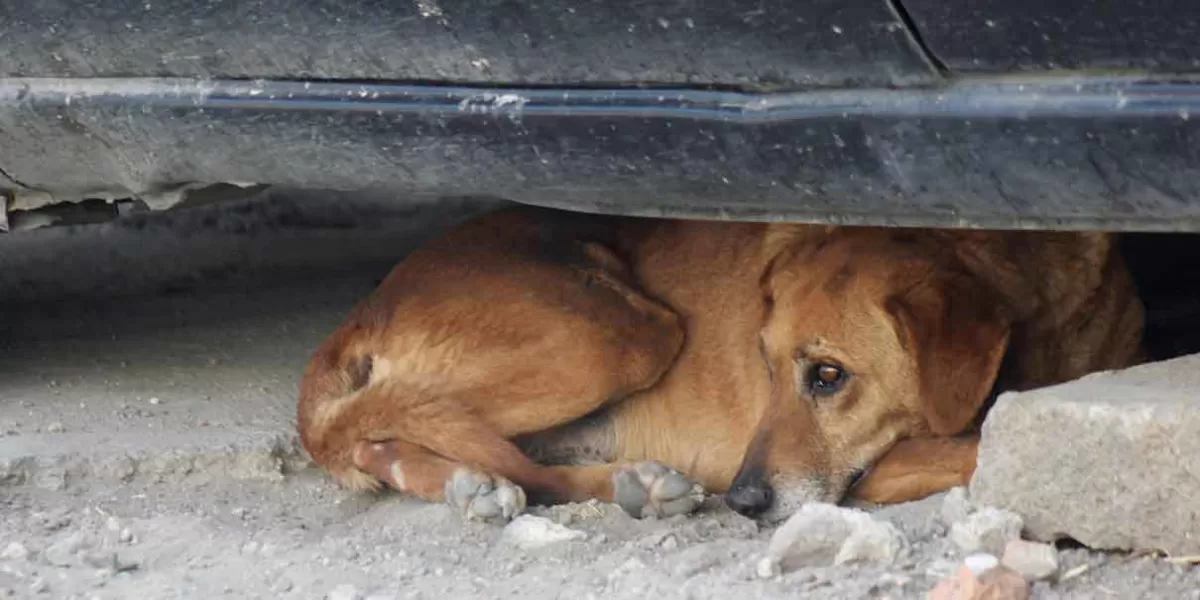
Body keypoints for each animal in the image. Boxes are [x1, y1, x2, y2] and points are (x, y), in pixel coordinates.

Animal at [292, 205, 1142, 520]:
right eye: (764, 366)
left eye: (828, 375)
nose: (744, 500)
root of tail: (360, 312)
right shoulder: (879, 469)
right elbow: (977, 443)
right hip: (619, 335)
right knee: (391, 427)